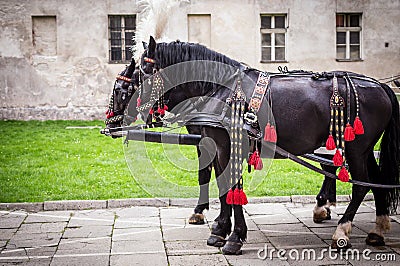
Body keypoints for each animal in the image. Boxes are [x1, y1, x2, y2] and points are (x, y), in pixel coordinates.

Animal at [132, 36, 400, 255]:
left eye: (144, 71)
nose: (138, 109)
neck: (219, 88)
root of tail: (381, 85)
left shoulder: (228, 146)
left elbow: (231, 188)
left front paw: (234, 237)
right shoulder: (216, 146)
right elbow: (222, 185)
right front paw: (220, 230)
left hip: (356, 148)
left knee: (361, 186)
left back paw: (342, 231)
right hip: (364, 150)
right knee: (376, 181)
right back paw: (378, 229)